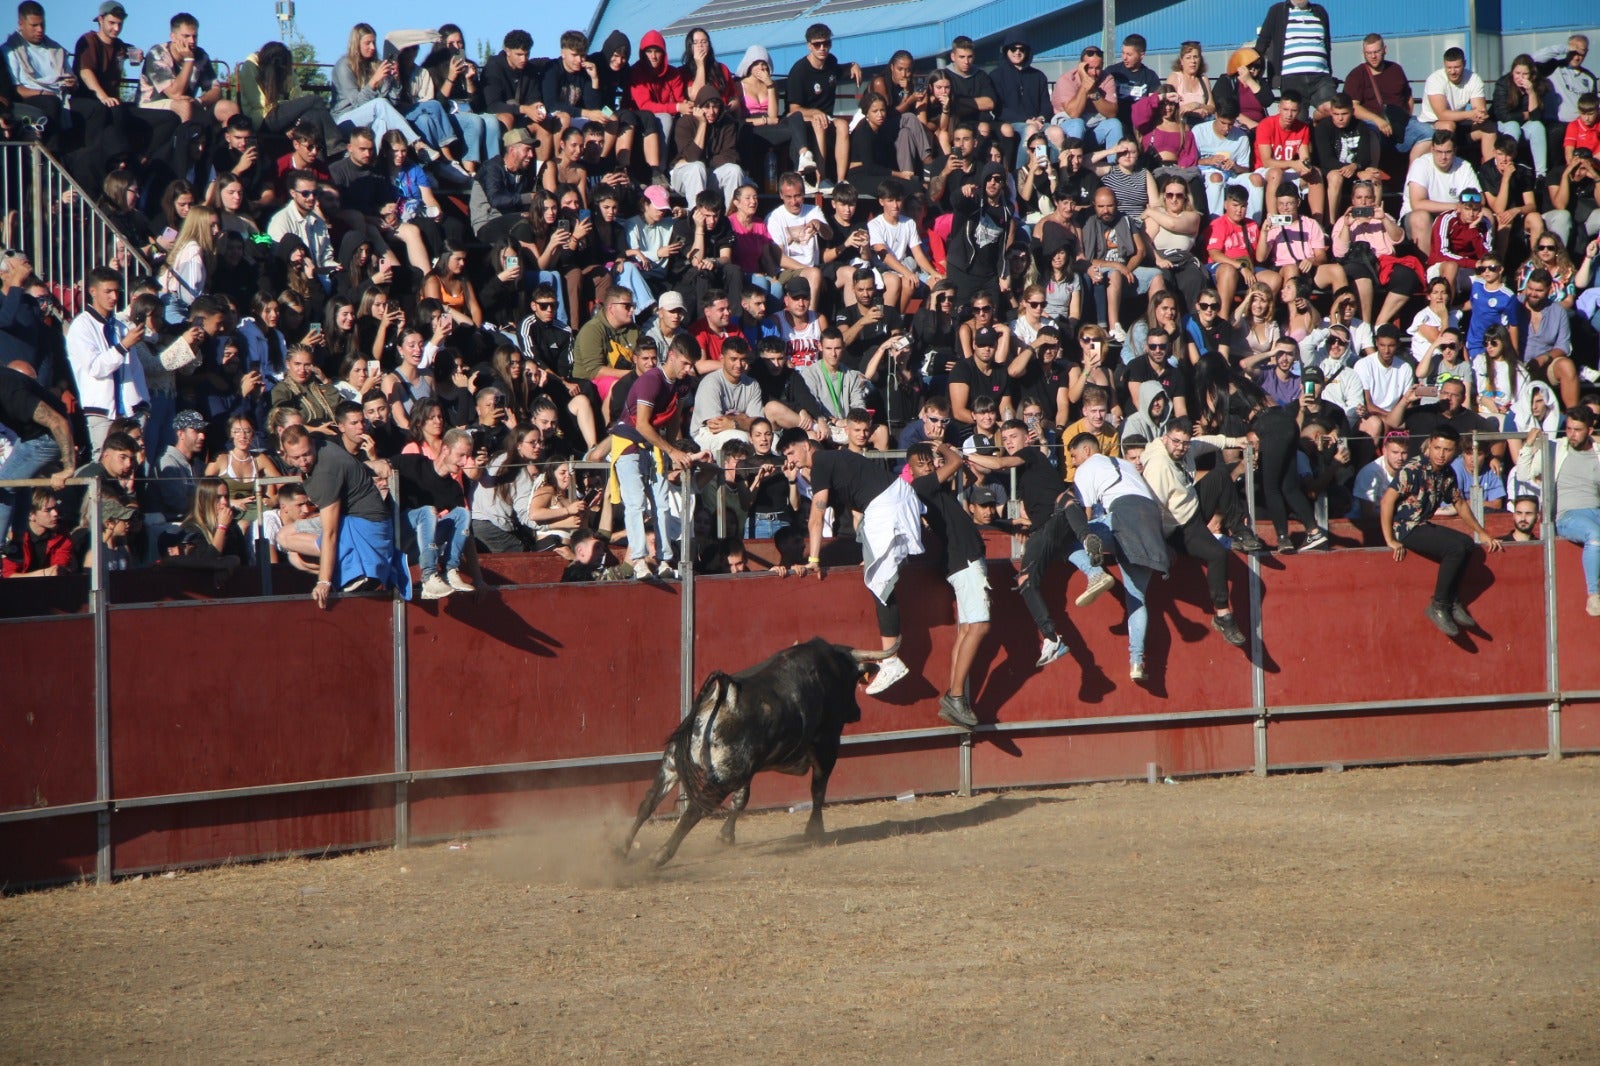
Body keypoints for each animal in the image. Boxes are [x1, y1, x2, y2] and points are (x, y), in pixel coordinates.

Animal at [620, 633, 902, 857]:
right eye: (854, 681)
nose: (857, 713)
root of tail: (726, 692)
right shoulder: (828, 745)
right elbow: (818, 790)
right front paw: (814, 831)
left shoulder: (749, 769)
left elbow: (742, 799)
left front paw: (725, 837)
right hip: (724, 775)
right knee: (694, 811)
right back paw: (660, 855)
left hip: (674, 762)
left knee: (649, 800)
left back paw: (621, 850)